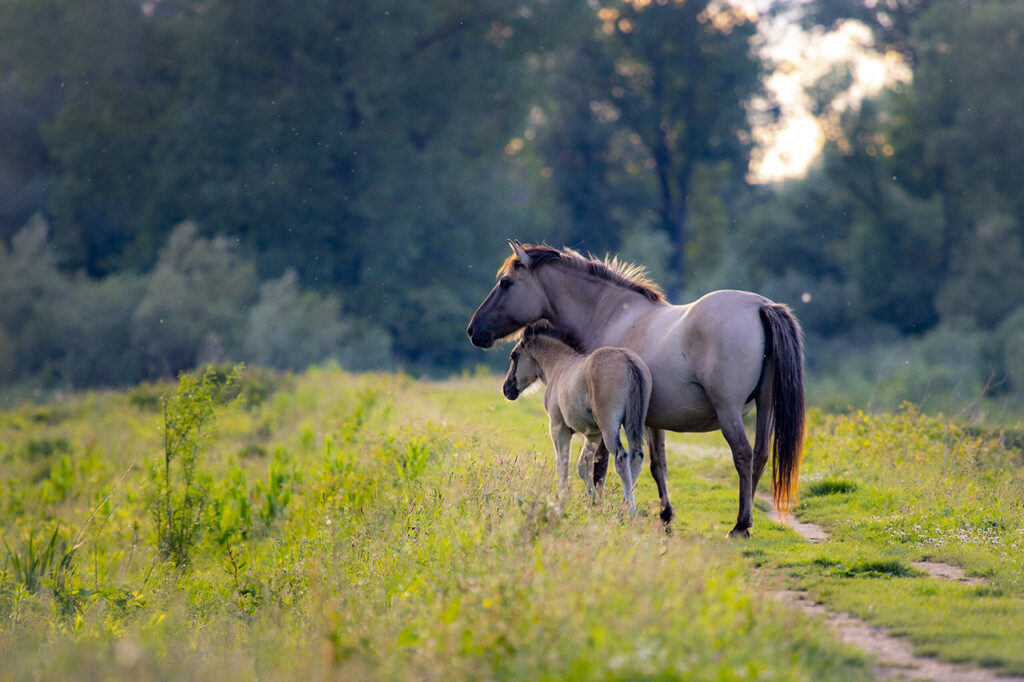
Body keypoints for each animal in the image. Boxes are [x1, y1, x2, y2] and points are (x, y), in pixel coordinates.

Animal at [501, 323, 651, 509]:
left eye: (513, 355)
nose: (507, 388)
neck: (558, 365)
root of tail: (627, 360)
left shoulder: (559, 427)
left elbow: (563, 465)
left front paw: (559, 499)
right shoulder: (593, 434)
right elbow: (583, 466)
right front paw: (593, 501)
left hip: (609, 426)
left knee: (621, 458)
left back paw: (629, 509)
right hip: (633, 424)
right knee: (636, 456)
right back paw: (623, 506)